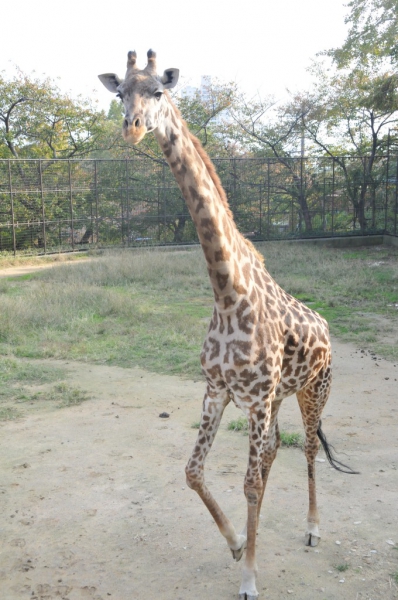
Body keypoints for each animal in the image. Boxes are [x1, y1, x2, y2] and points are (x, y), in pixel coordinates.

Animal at [98, 49, 356, 596]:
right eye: (120, 93)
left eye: (158, 91)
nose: (133, 128)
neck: (228, 294)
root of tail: (326, 326)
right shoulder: (217, 391)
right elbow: (194, 472)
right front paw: (238, 542)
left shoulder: (253, 399)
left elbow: (250, 483)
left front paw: (250, 577)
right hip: (277, 398)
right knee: (275, 449)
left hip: (314, 390)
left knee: (307, 450)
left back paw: (312, 528)